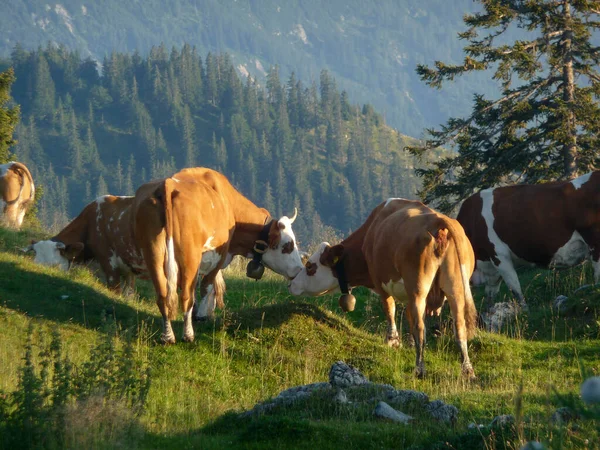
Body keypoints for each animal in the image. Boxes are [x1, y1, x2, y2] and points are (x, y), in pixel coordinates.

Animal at [133, 169, 302, 344]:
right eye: (288, 245)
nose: (300, 269)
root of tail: (168, 184)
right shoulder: (221, 254)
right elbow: (207, 285)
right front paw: (202, 315)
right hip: (189, 256)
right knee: (186, 295)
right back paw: (188, 335)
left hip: (154, 254)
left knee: (163, 295)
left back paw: (167, 336)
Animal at [290, 199, 478, 378]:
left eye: (309, 266)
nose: (291, 284)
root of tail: (439, 221)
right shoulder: (408, 295)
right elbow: (408, 316)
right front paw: (407, 344)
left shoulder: (381, 283)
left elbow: (390, 310)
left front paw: (392, 341)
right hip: (455, 289)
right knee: (459, 327)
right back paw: (468, 370)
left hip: (418, 289)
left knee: (421, 329)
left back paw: (419, 369)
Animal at [454, 171, 600, 304]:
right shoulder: (491, 272)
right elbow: (490, 296)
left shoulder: (499, 257)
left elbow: (515, 290)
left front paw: (523, 312)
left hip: (594, 243)